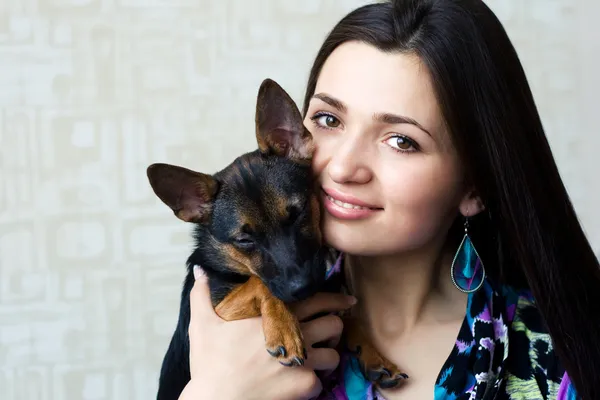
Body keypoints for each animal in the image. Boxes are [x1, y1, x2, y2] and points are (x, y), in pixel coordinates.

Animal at [146, 79, 408, 400]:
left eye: (298, 213)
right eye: (244, 240)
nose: (303, 288)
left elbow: (349, 319)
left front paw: (375, 356)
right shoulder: (219, 309)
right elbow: (259, 284)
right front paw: (284, 328)